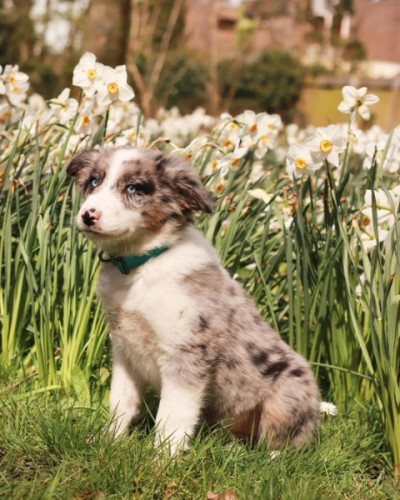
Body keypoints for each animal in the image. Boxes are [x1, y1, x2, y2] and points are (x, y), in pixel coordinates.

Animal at [67, 146, 320, 456]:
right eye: (94, 181)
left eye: (134, 188)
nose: (88, 215)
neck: (142, 264)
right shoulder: (124, 350)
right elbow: (121, 402)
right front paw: (108, 442)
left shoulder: (185, 355)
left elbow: (172, 418)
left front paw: (162, 461)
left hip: (287, 394)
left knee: (286, 445)